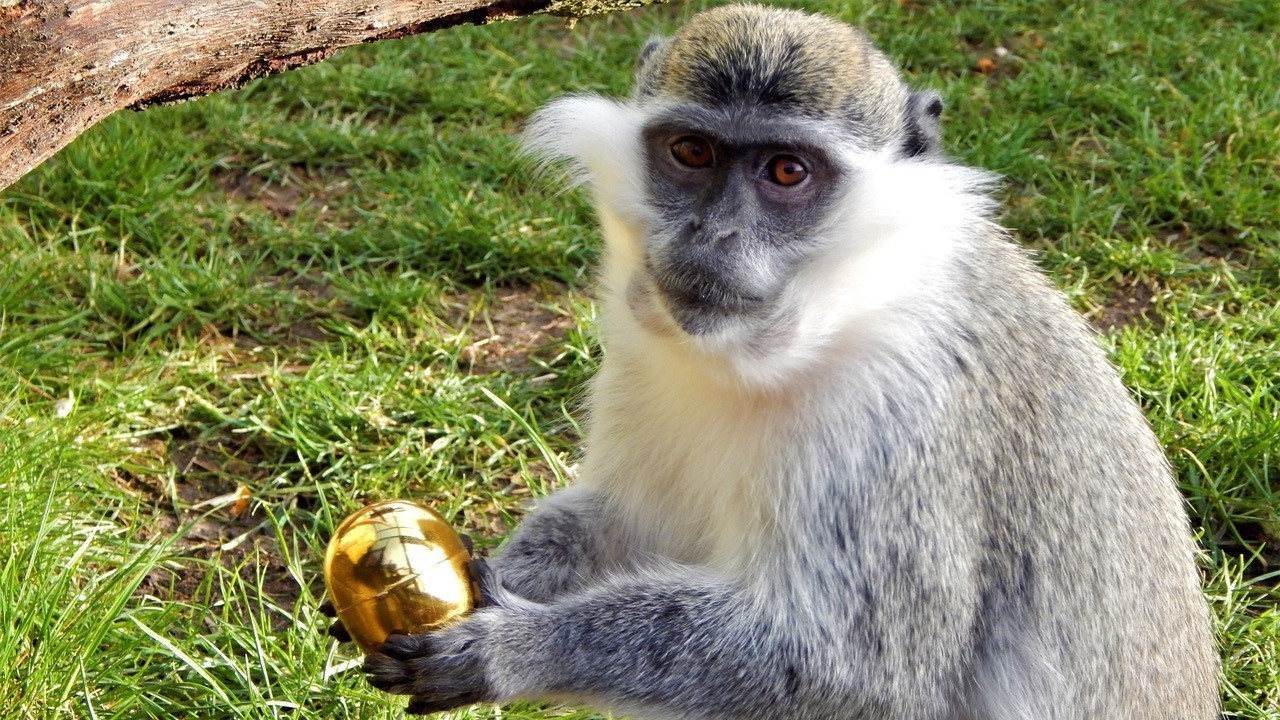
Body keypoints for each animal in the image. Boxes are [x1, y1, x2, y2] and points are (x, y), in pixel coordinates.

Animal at [359, 5, 1220, 718]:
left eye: (786, 172)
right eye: (692, 152)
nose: (711, 236)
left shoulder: (898, 416)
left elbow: (856, 672)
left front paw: (517, 647)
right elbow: (623, 519)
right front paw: (498, 569)